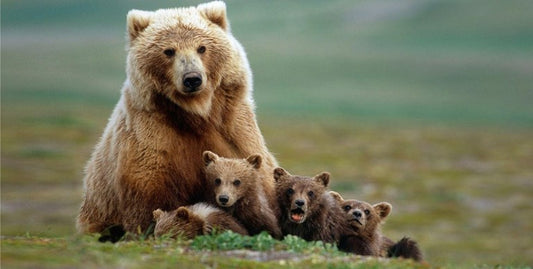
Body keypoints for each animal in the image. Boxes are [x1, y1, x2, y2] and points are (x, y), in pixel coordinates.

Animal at [80, 0, 278, 234]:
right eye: (169, 51)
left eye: (202, 48)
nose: (192, 78)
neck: (195, 113)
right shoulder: (153, 139)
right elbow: (150, 198)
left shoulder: (234, 130)